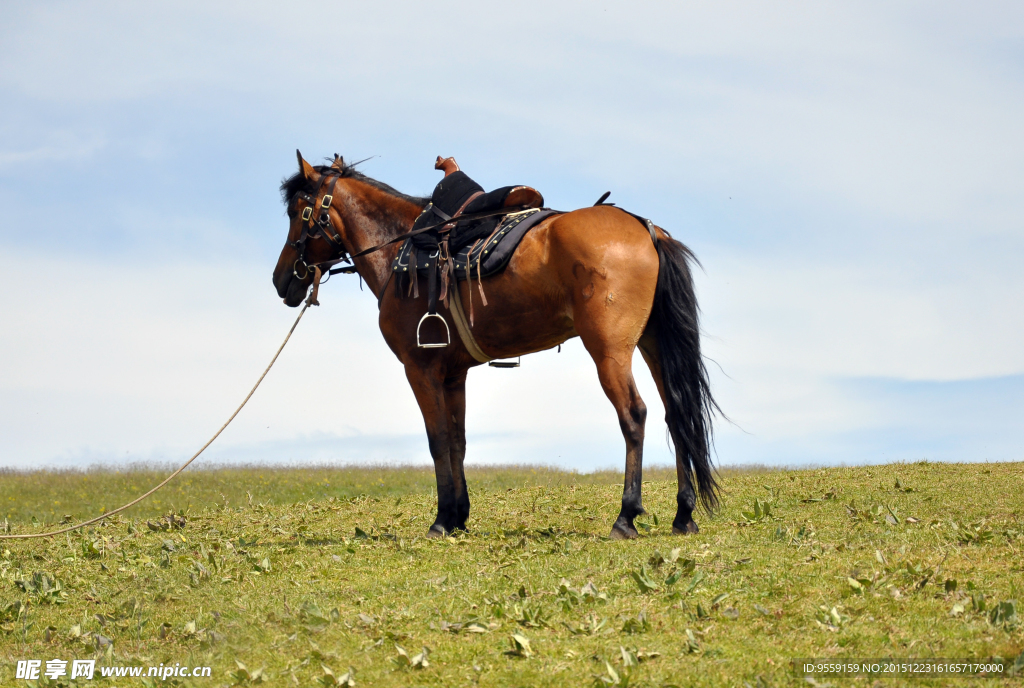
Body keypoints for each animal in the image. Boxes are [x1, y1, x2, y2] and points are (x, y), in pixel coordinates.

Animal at [272, 153, 720, 540]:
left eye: (297, 212)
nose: (281, 280)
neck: (401, 250)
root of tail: (646, 229)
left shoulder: (420, 369)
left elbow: (437, 440)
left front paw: (442, 520)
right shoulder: (452, 374)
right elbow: (457, 440)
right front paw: (458, 516)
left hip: (610, 351)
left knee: (634, 416)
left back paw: (626, 515)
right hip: (654, 346)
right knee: (677, 415)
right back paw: (683, 514)